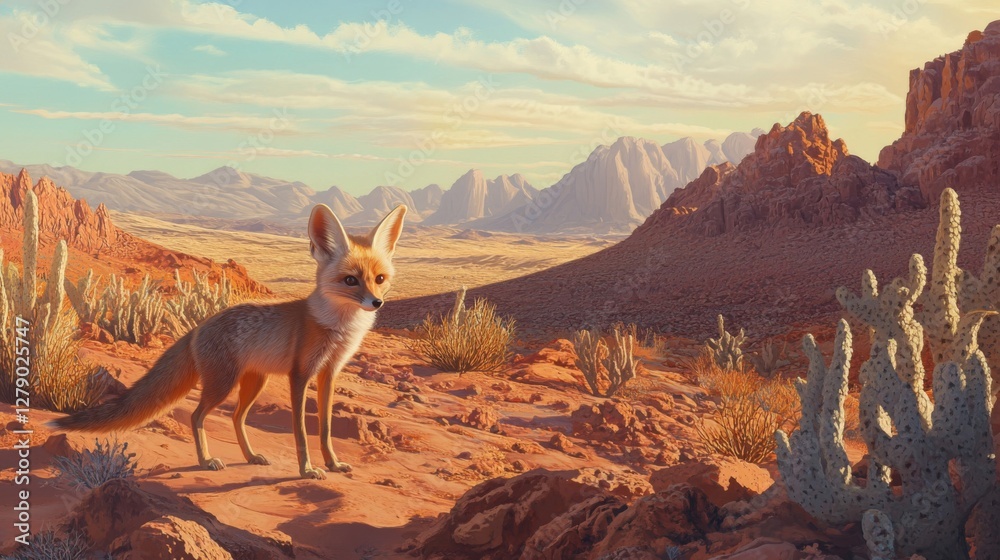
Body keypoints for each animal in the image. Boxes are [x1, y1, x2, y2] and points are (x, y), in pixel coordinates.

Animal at [49, 204, 407, 480]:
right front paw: (307, 470)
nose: (377, 303)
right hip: (223, 384)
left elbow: (327, 428)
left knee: (236, 417)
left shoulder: (329, 375)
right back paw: (206, 460)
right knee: (197, 416)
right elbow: (302, 432)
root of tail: (198, 326)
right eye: (350, 281)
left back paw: (250, 457)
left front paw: (332, 464)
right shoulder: (300, 375)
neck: (336, 327)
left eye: (380, 279)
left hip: (254, 382)